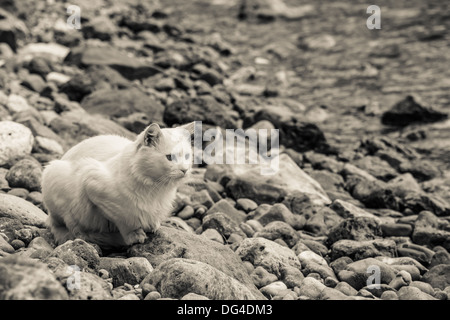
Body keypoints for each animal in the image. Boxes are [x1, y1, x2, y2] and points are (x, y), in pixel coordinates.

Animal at [42, 121, 195, 249]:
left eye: (187, 156)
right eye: (169, 157)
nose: (184, 170)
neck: (156, 188)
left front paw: (152, 225)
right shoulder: (93, 184)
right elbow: (125, 220)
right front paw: (134, 235)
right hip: (55, 177)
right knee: (67, 228)